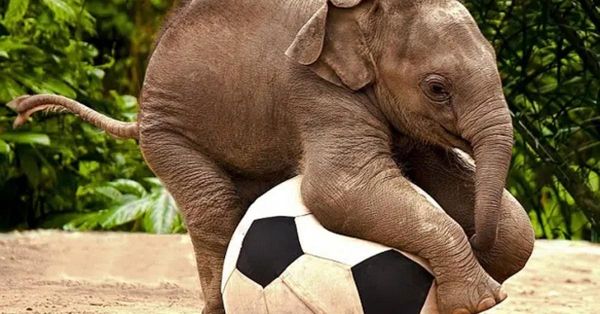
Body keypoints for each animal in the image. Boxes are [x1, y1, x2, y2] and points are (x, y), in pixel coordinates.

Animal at [8, 0, 536, 312]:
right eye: (437, 88)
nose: (476, 238)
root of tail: (138, 113)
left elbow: (492, 211)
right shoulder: (314, 91)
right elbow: (338, 189)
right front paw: (483, 299)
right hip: (168, 133)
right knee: (215, 207)